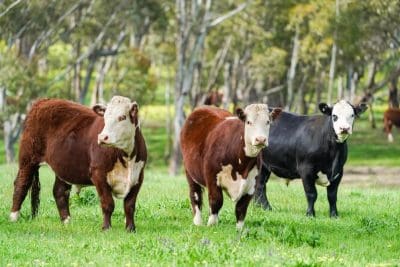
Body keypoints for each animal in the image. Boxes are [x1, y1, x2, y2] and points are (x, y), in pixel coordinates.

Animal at [9, 96, 147, 232]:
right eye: (105, 118)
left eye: (122, 117)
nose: (103, 137)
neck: (127, 157)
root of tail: (43, 101)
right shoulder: (98, 174)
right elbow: (107, 203)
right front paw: (106, 228)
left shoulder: (138, 176)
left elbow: (129, 205)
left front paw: (130, 229)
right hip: (28, 159)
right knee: (21, 184)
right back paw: (13, 217)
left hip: (64, 166)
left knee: (60, 191)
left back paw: (67, 221)